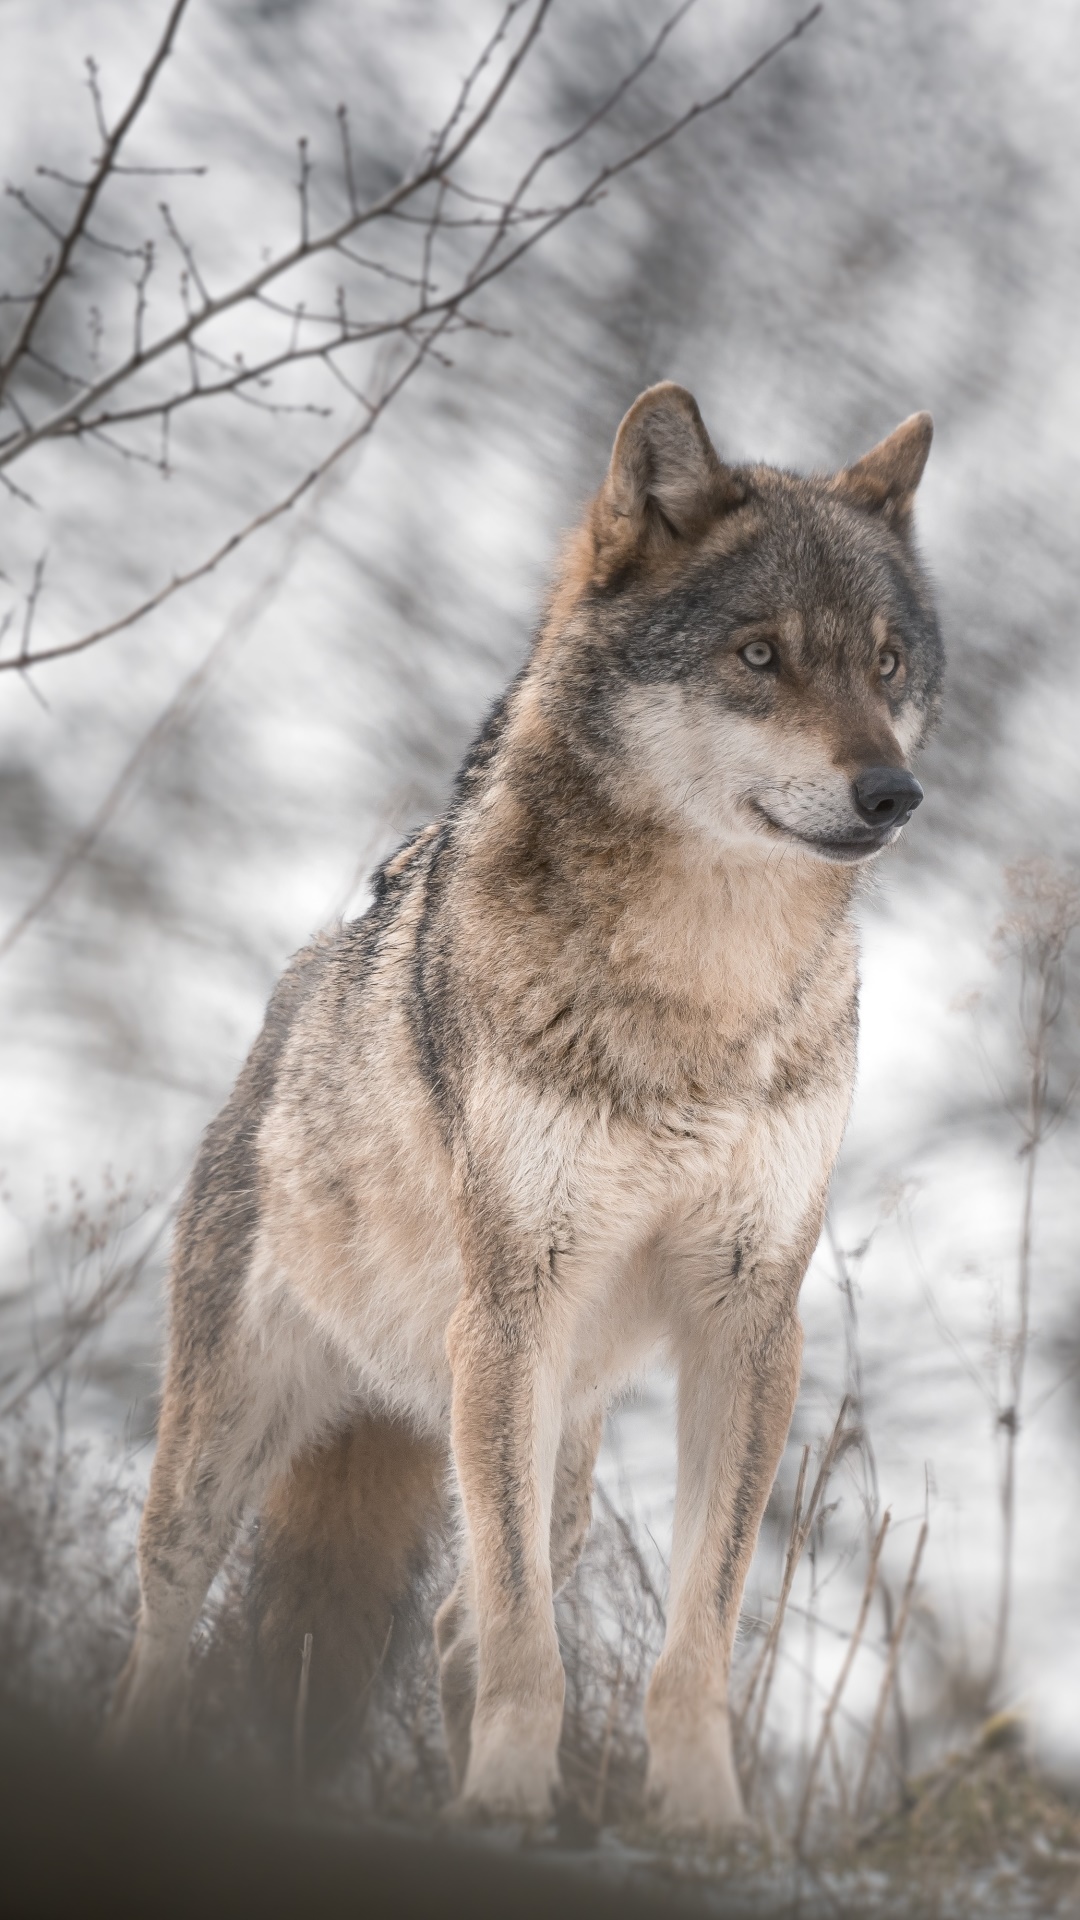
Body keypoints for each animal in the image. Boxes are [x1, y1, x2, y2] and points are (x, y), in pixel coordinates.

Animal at [107, 383, 941, 1835]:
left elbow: (698, 1626)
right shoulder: (513, 1305)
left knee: (455, 1618)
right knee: (162, 1627)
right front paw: (504, 1793)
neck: (699, 992)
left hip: (559, 1445)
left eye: (888, 666)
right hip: (241, 1444)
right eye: (761, 655)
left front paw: (704, 1819)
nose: (893, 792)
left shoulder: (750, 1317)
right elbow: (521, 1633)